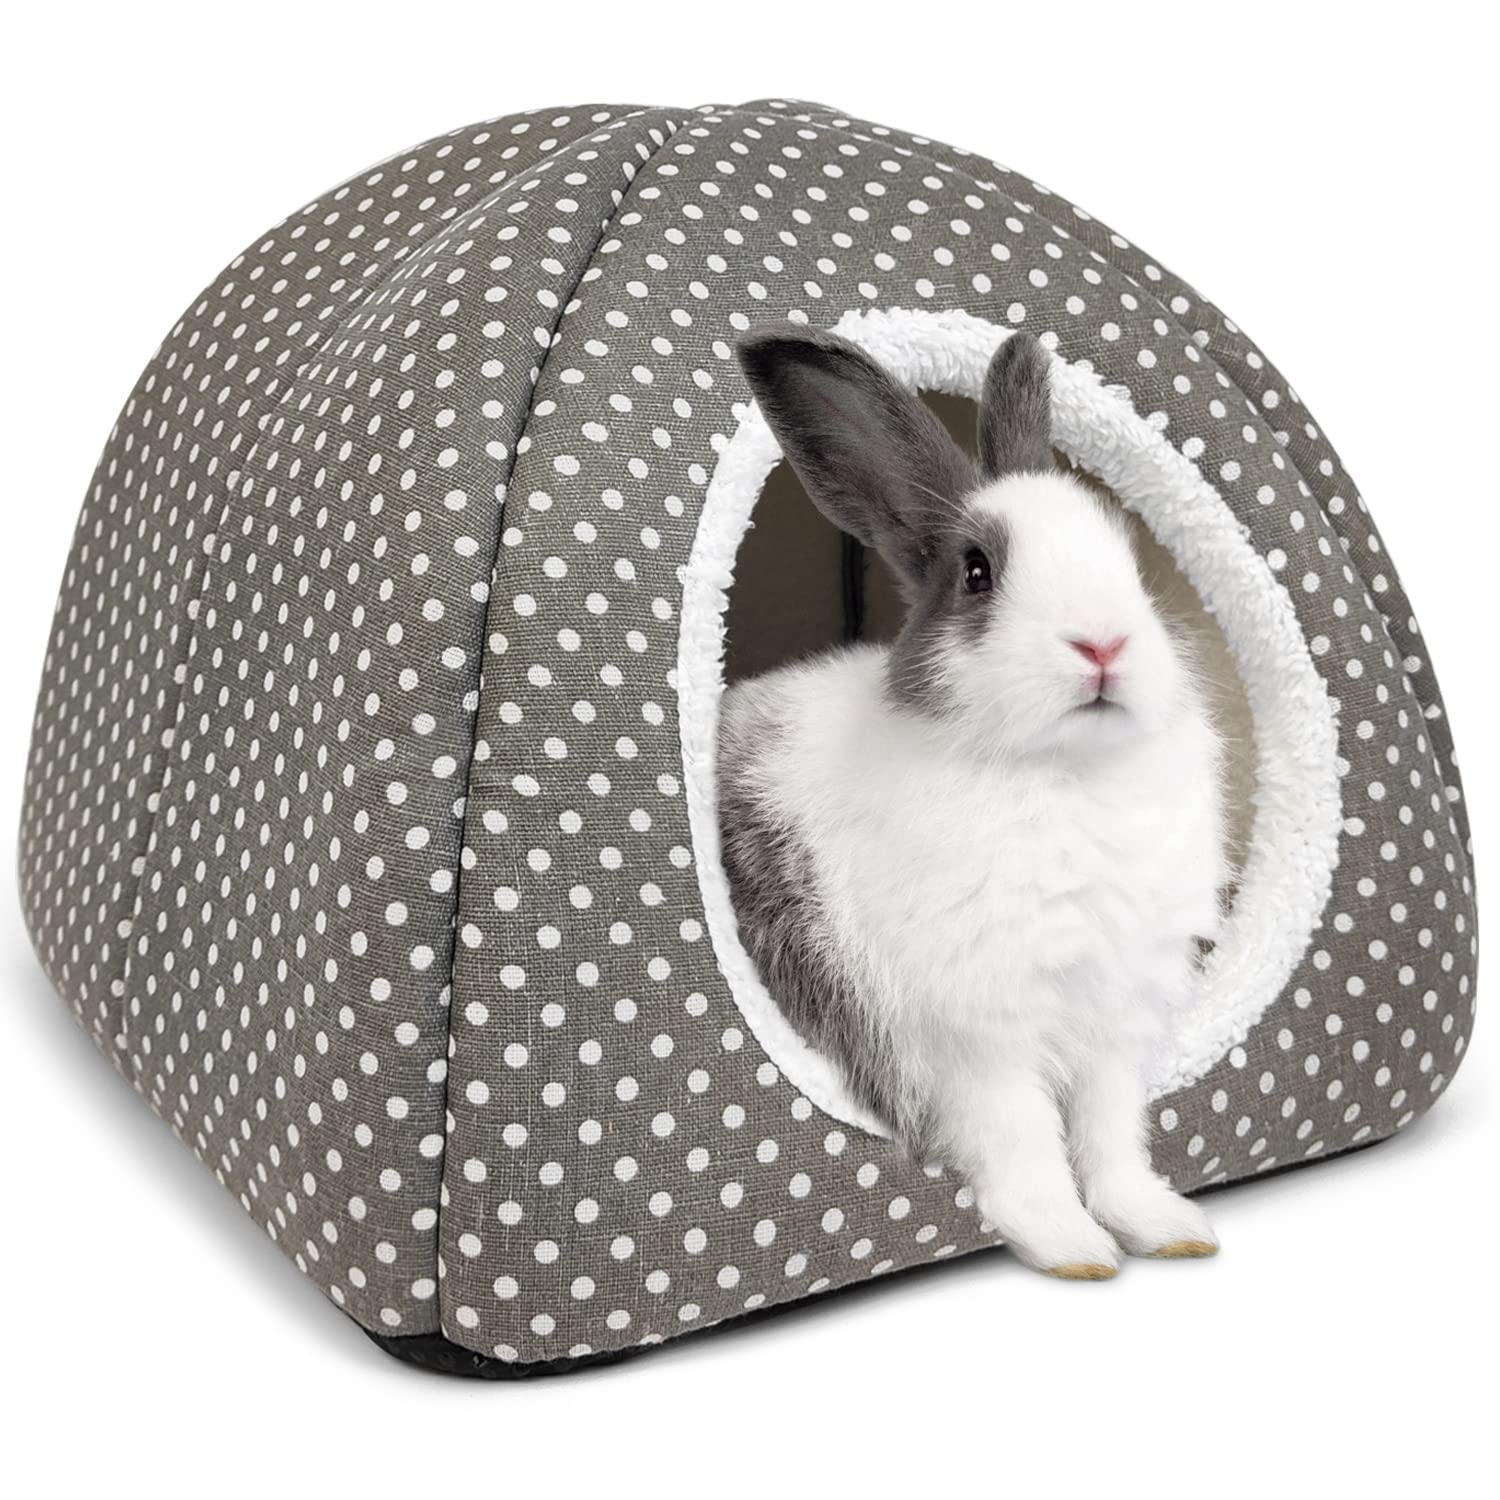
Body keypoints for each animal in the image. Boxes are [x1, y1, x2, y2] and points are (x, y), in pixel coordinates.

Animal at [718, 324, 1228, 1279]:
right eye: (978, 572)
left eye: (1129, 556)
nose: (1102, 644)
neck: (1063, 773)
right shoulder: (976, 1038)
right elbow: (1023, 1143)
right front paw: (1074, 1249)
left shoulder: (1114, 1027)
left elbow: (1112, 1140)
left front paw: (1168, 1229)